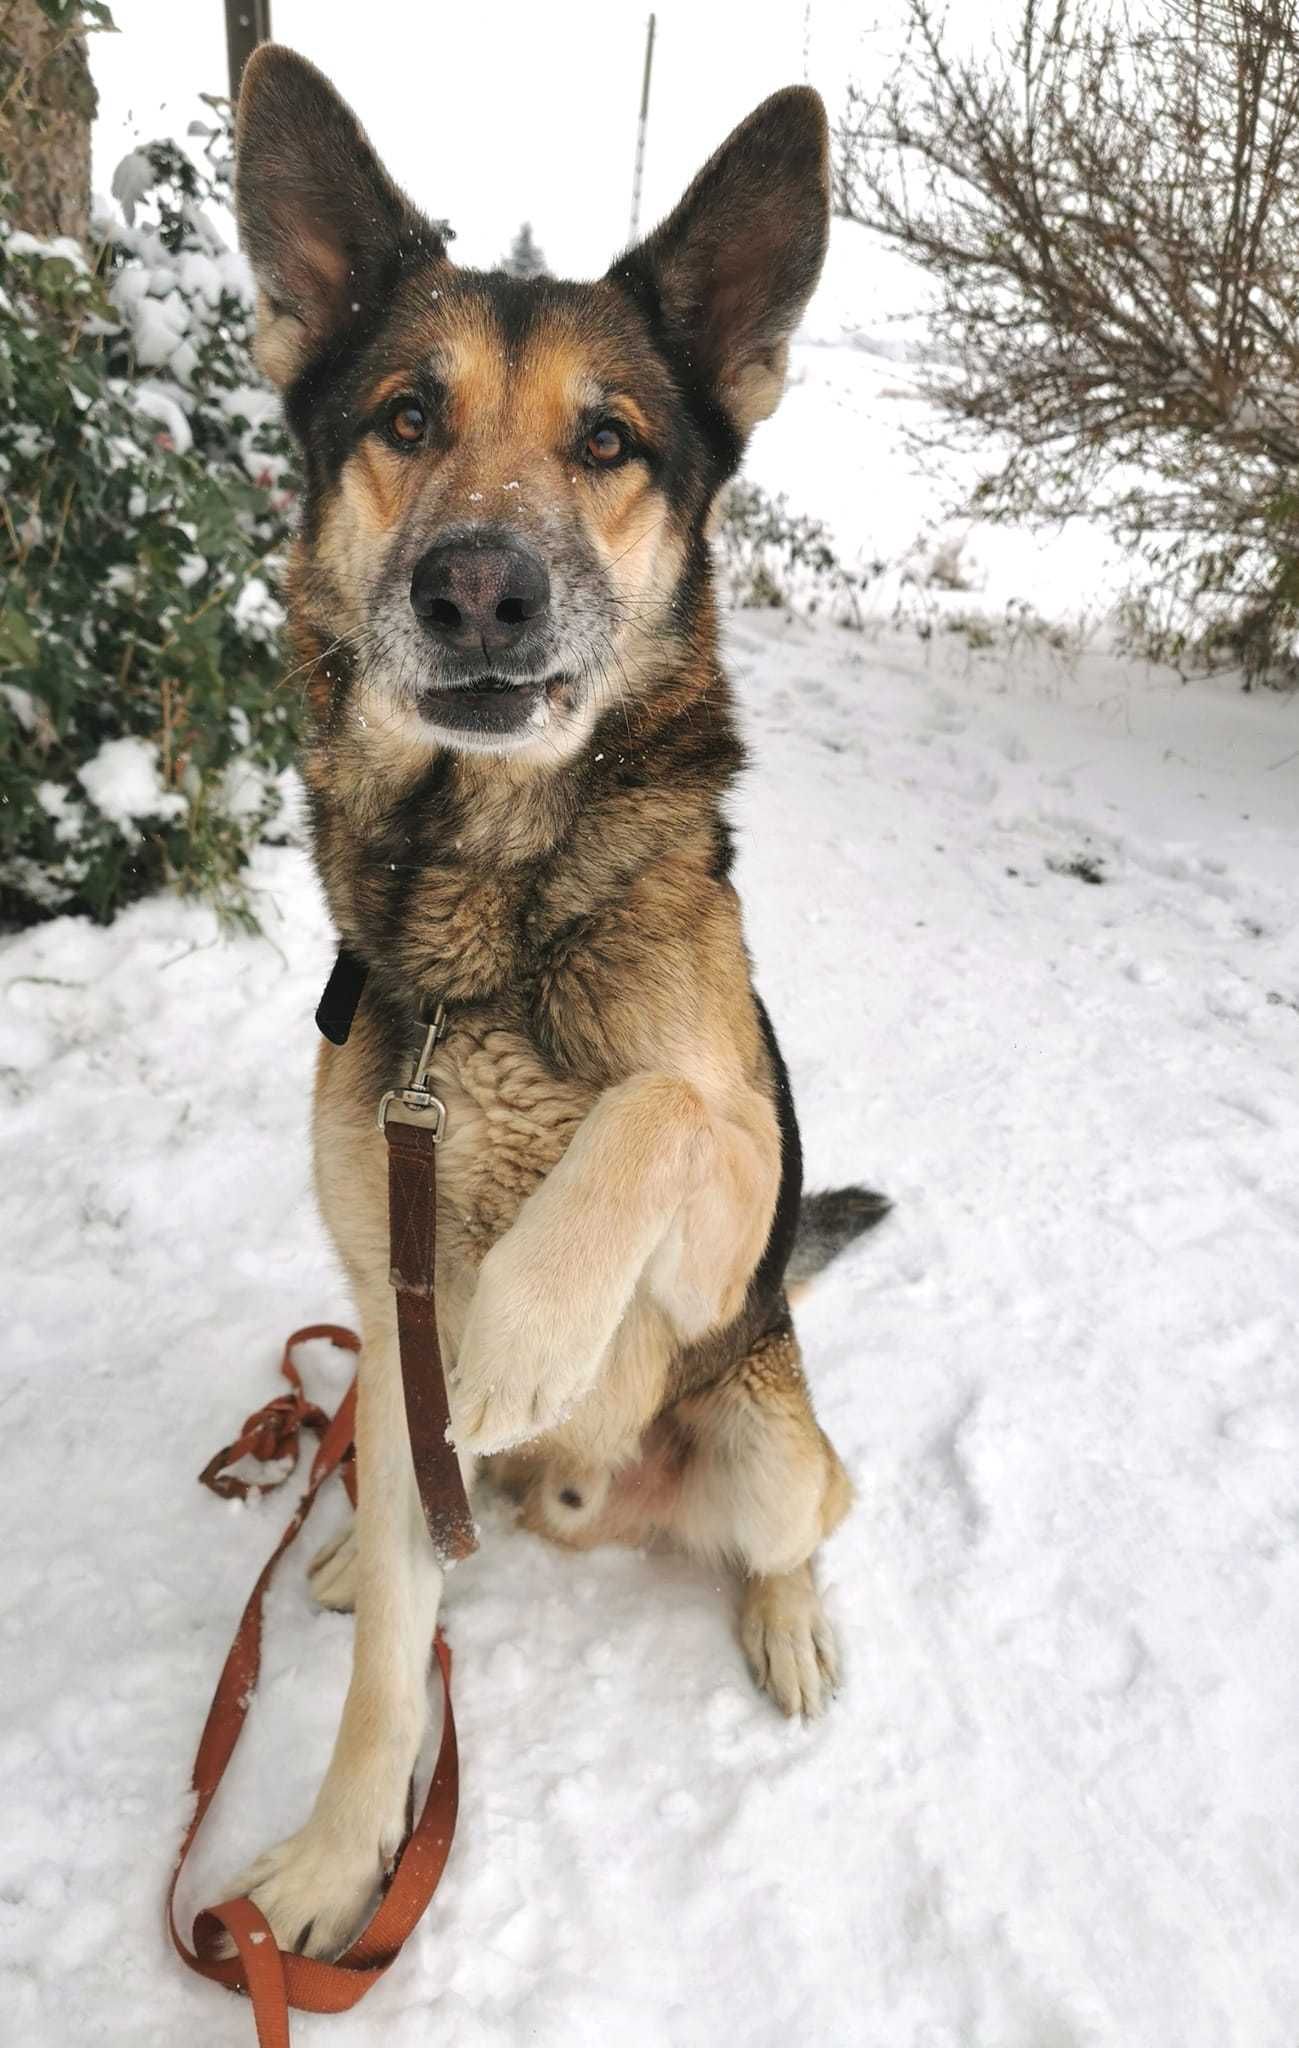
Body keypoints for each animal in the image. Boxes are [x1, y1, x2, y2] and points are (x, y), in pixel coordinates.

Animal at [230, 48, 881, 1957]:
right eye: (403, 417)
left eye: (607, 441)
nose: (475, 586)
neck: (485, 926)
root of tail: (586, 1503)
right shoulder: (390, 1312)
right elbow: (389, 1672)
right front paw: (337, 1857)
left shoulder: (720, 1185)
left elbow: (653, 1105)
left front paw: (523, 1327)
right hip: (396, 1407)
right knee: (410, 1510)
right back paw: (341, 1543)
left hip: (760, 1411)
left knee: (806, 1515)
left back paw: (780, 1616)